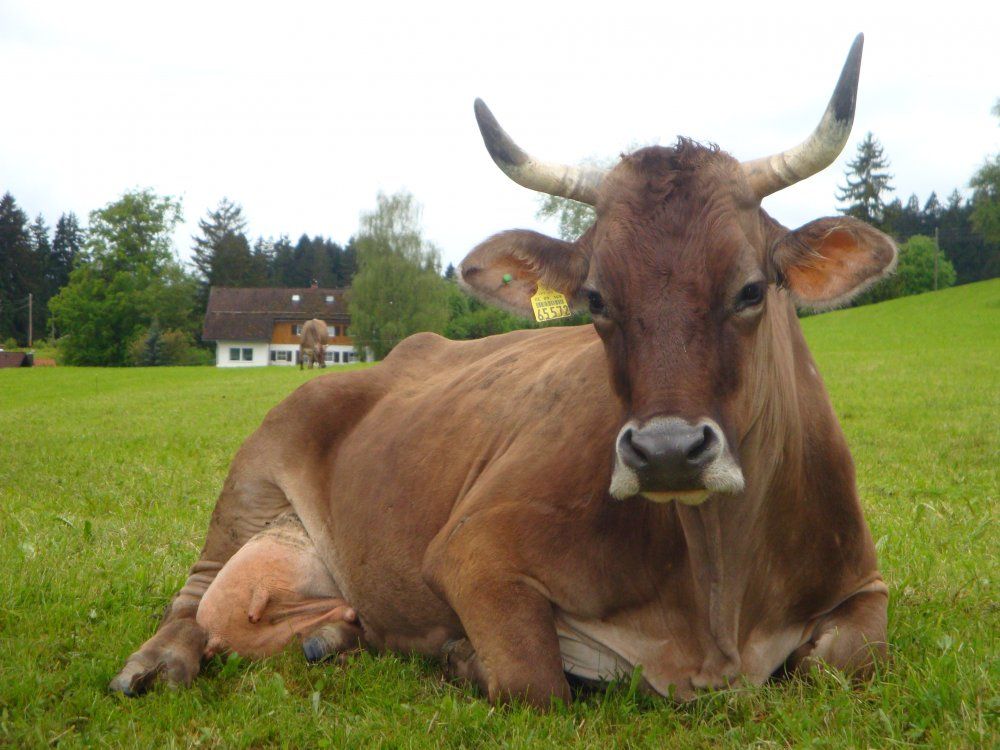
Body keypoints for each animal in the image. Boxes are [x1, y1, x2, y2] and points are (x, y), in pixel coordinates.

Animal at [110, 34, 893, 708]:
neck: (716, 594)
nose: (667, 450)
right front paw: (463, 658)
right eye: (597, 299)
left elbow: (845, 659)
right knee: (195, 597)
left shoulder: (866, 579)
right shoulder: (473, 549)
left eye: (751, 290)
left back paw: (333, 636)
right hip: (249, 481)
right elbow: (532, 682)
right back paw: (155, 663)